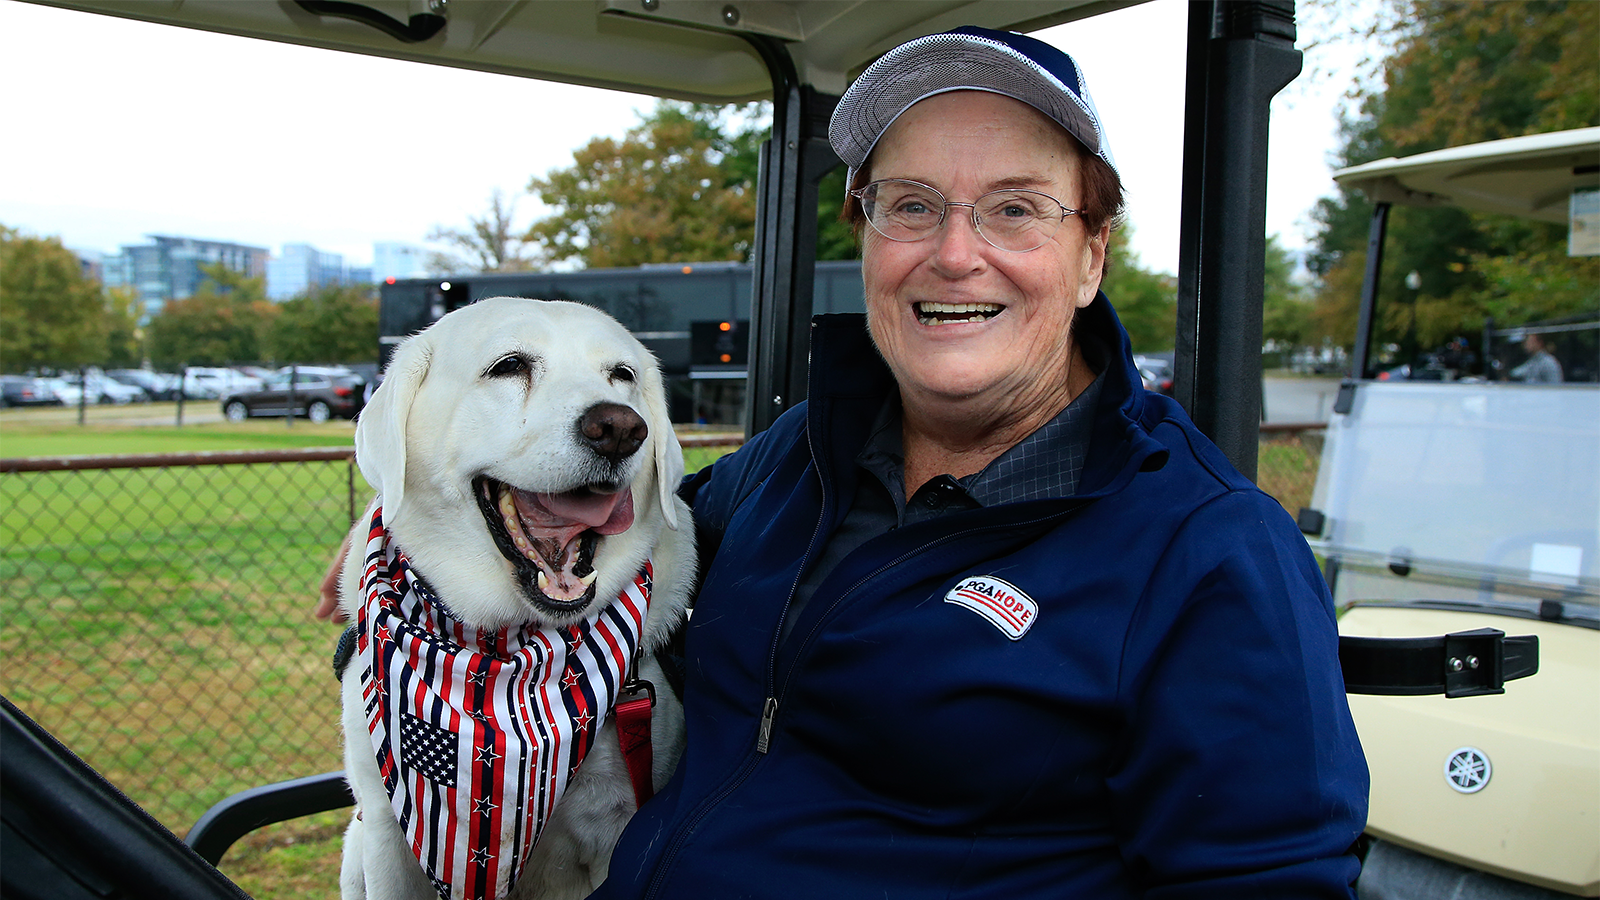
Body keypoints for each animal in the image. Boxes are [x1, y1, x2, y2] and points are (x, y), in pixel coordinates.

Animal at [337, 297, 694, 890]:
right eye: (509, 367)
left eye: (623, 376)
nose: (621, 427)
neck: (498, 650)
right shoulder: (386, 828)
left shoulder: (619, 828)